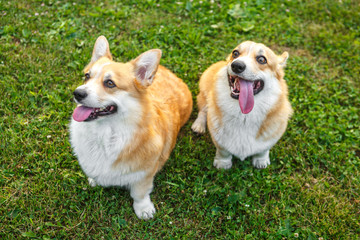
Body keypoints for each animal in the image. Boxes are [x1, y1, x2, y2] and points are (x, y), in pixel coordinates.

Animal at [69, 36, 193, 219]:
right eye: (86, 76)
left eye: (110, 83)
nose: (77, 93)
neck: (106, 134)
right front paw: (94, 180)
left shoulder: (145, 173)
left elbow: (139, 193)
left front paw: (144, 209)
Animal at [191, 40, 292, 169]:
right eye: (235, 53)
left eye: (261, 59)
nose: (236, 65)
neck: (244, 116)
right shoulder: (219, 139)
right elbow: (223, 152)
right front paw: (222, 164)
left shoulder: (269, 139)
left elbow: (263, 151)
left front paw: (261, 161)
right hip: (205, 93)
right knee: (203, 110)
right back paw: (198, 126)